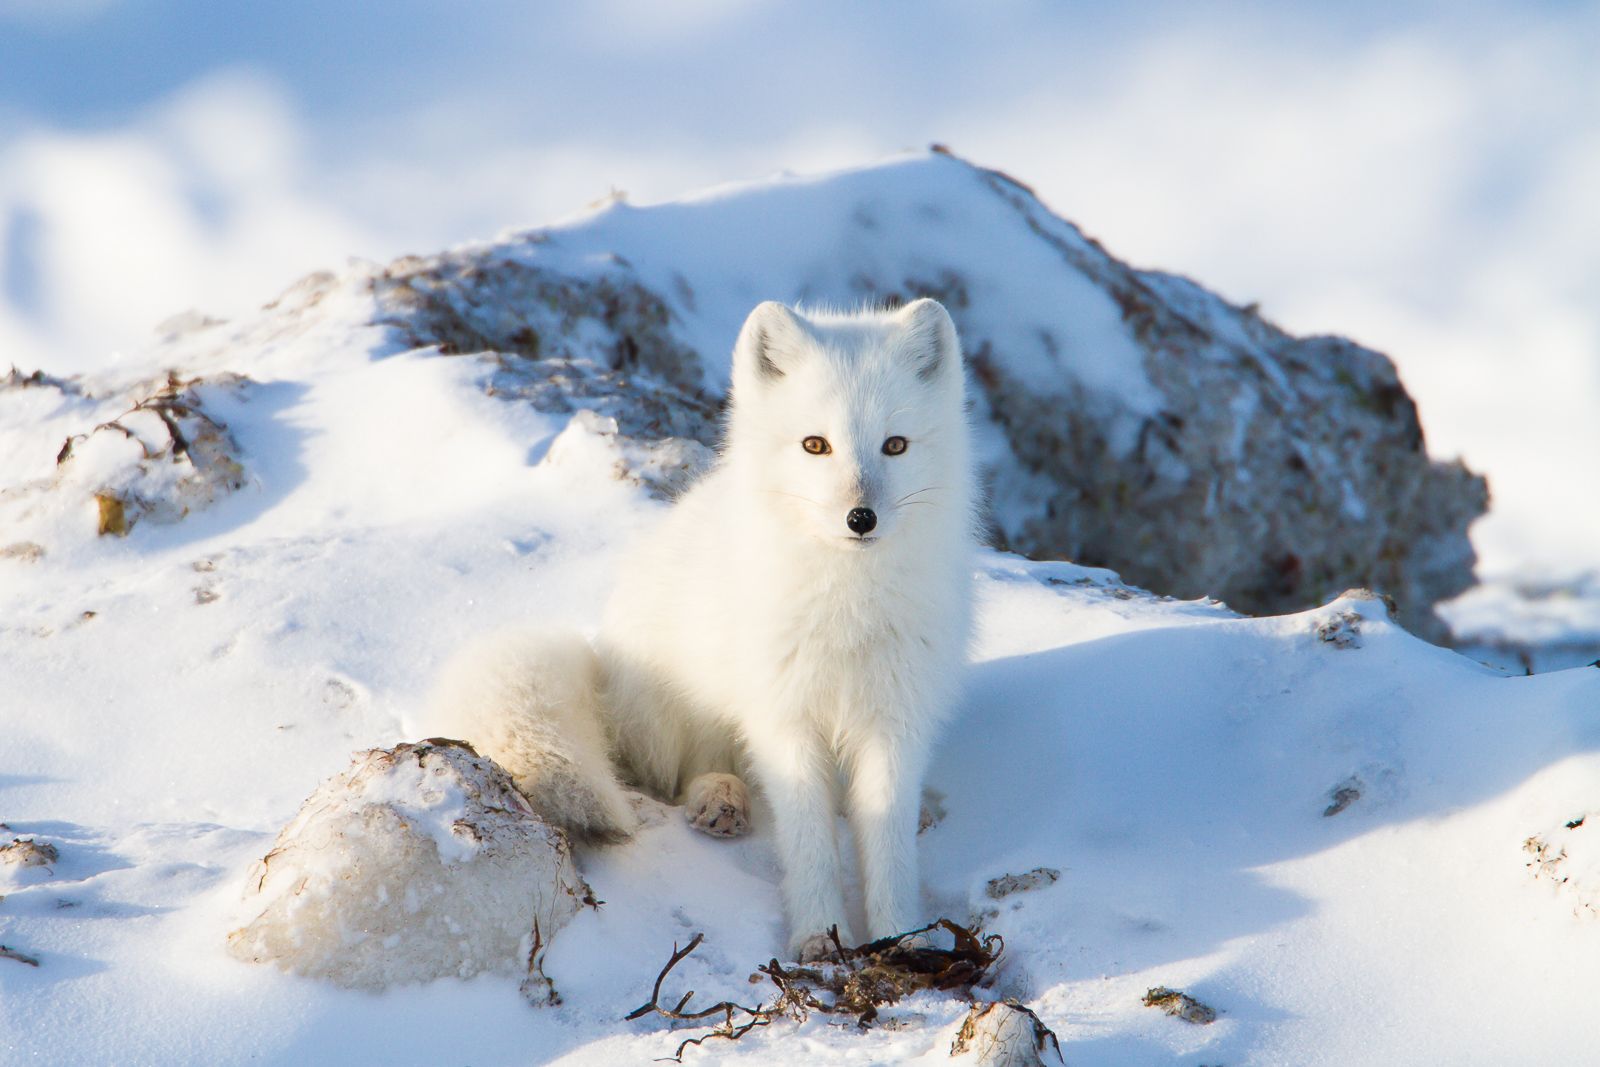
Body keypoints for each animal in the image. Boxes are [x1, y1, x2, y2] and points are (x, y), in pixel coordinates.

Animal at [425, 299, 972, 959]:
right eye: (815, 445)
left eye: (895, 445)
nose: (859, 518)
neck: (847, 604)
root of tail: (605, 674)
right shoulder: (783, 718)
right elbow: (808, 841)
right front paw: (819, 936)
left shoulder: (895, 720)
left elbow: (888, 837)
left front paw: (902, 936)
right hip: (683, 708)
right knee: (688, 771)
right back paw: (720, 800)